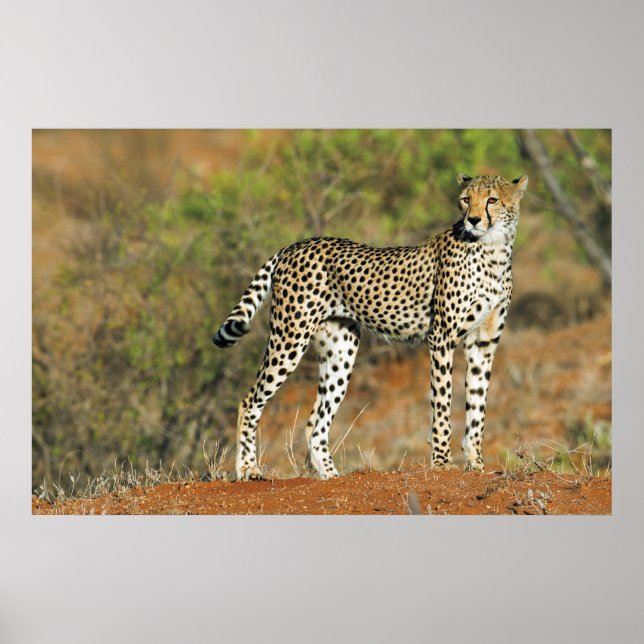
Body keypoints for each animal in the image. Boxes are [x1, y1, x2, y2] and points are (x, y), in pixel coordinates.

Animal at [212, 173, 528, 481]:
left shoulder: (483, 344)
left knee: (315, 423)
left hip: (341, 352)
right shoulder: (441, 339)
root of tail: (295, 245)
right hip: (290, 338)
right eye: (465, 199)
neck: (493, 249)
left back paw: (332, 477)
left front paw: (476, 464)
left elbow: (477, 406)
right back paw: (248, 469)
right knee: (249, 402)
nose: (472, 220)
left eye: (491, 200)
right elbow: (442, 404)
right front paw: (442, 463)